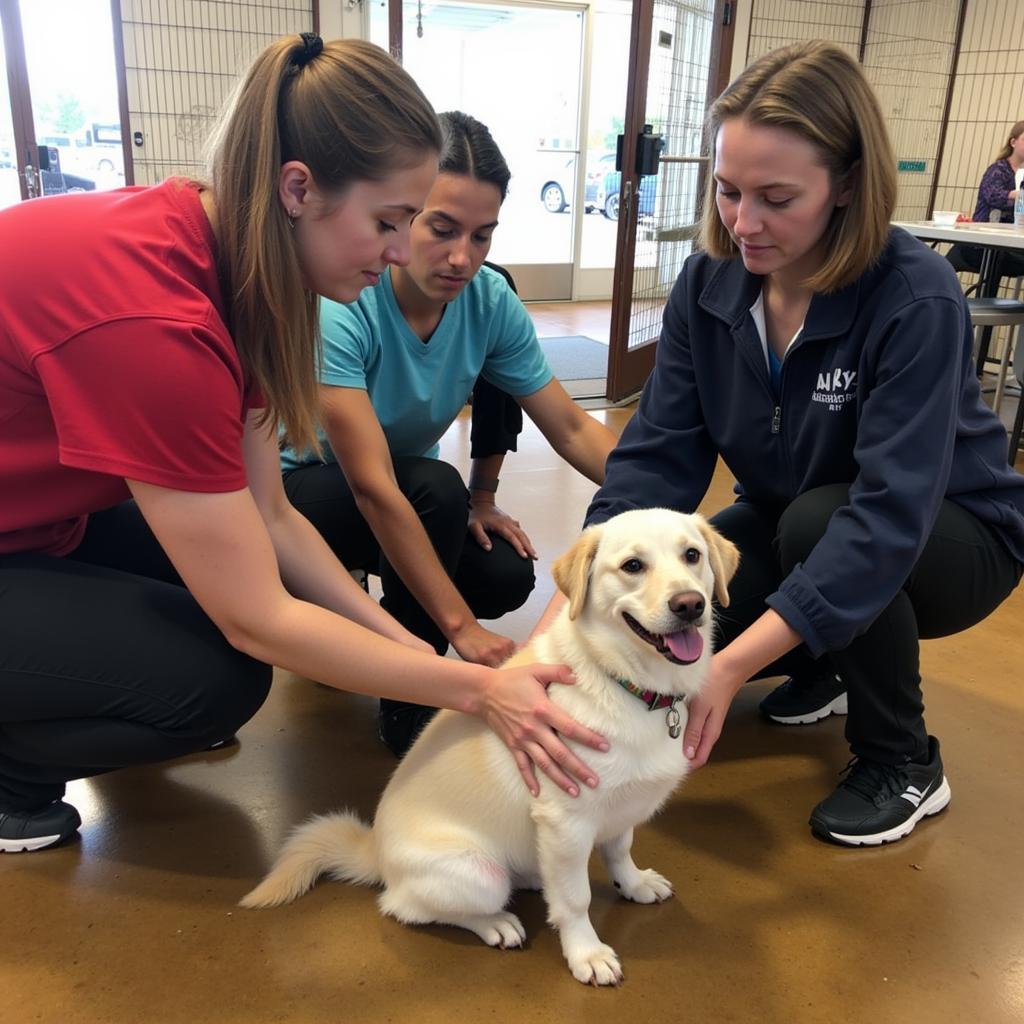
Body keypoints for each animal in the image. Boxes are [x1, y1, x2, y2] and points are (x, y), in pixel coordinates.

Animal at [241, 507, 737, 987]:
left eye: (692, 555)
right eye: (633, 566)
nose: (690, 604)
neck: (630, 685)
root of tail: (375, 852)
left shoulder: (620, 807)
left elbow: (619, 851)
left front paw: (634, 884)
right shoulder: (568, 821)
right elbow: (576, 899)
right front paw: (586, 954)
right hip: (479, 874)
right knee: (407, 907)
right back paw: (496, 923)